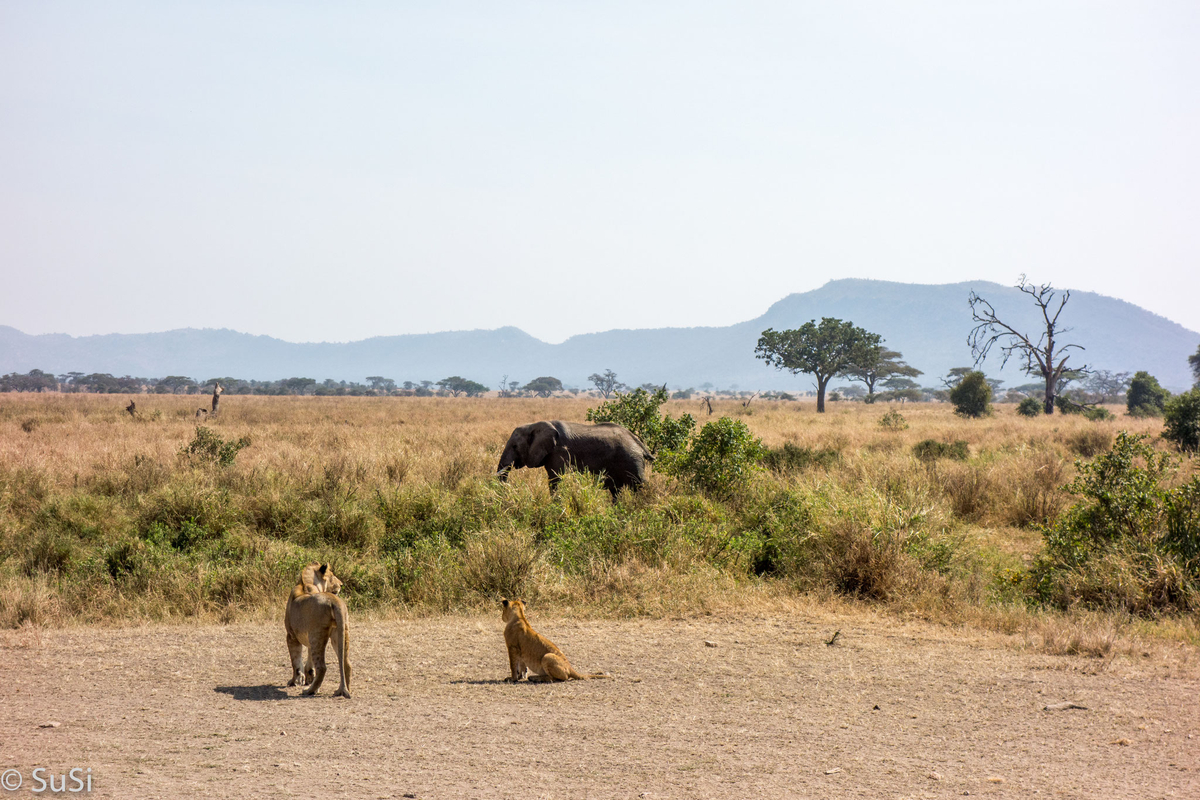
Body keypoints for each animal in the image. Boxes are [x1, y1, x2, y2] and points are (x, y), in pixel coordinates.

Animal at [496, 422, 657, 496]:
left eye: (515, 446)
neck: (533, 425)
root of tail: (638, 442)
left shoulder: (559, 451)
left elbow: (555, 479)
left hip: (631, 460)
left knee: (637, 486)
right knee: (615, 491)